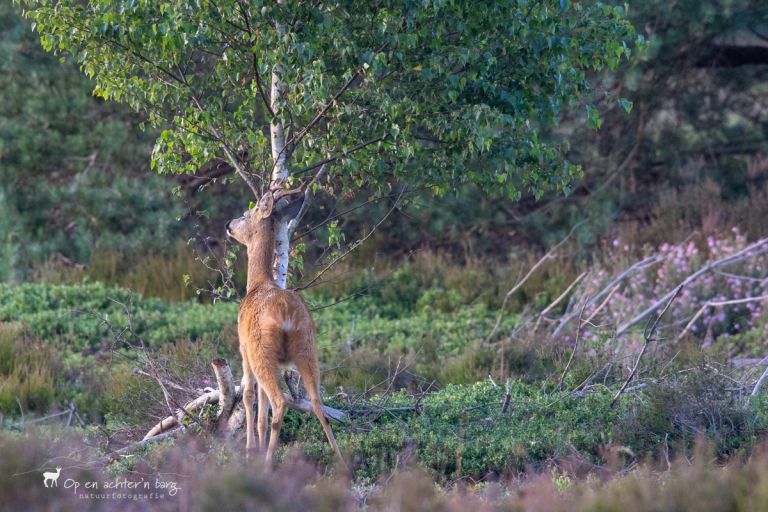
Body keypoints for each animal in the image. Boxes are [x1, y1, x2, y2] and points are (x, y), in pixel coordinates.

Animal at [224, 190, 340, 466]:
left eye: (245, 214)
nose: (228, 225)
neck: (257, 283)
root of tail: (286, 312)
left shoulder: (243, 349)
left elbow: (249, 396)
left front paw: (250, 451)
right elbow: (261, 415)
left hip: (261, 352)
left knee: (279, 402)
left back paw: (267, 464)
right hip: (307, 349)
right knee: (318, 405)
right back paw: (342, 460)